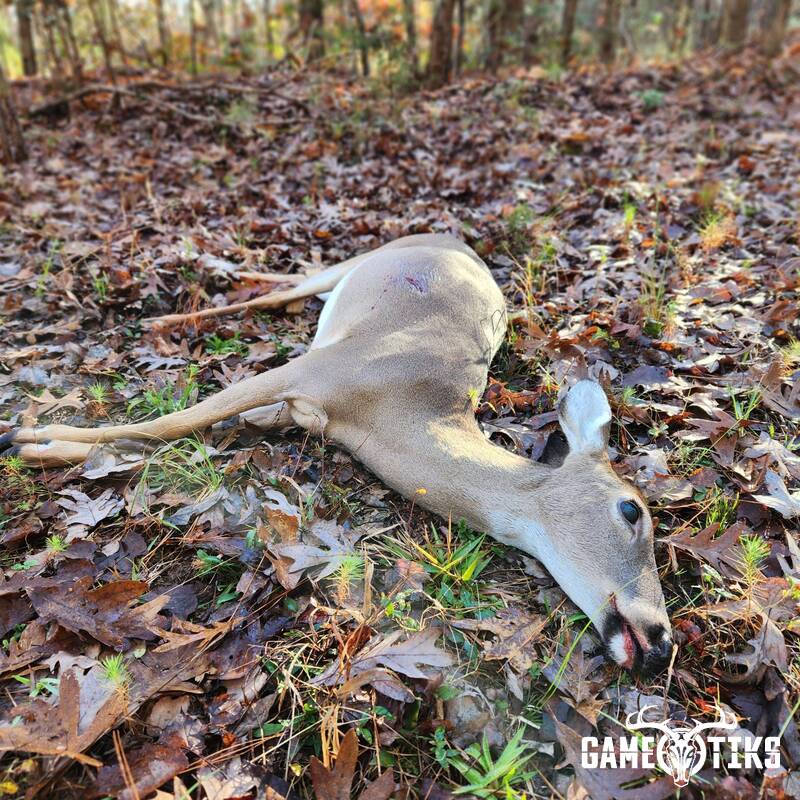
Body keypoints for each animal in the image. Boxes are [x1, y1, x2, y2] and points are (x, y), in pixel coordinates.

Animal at [1, 234, 673, 674]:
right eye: (632, 510)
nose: (662, 640)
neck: (396, 410)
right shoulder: (321, 366)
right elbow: (177, 420)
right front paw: (36, 442)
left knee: (279, 295)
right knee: (277, 294)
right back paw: (173, 312)